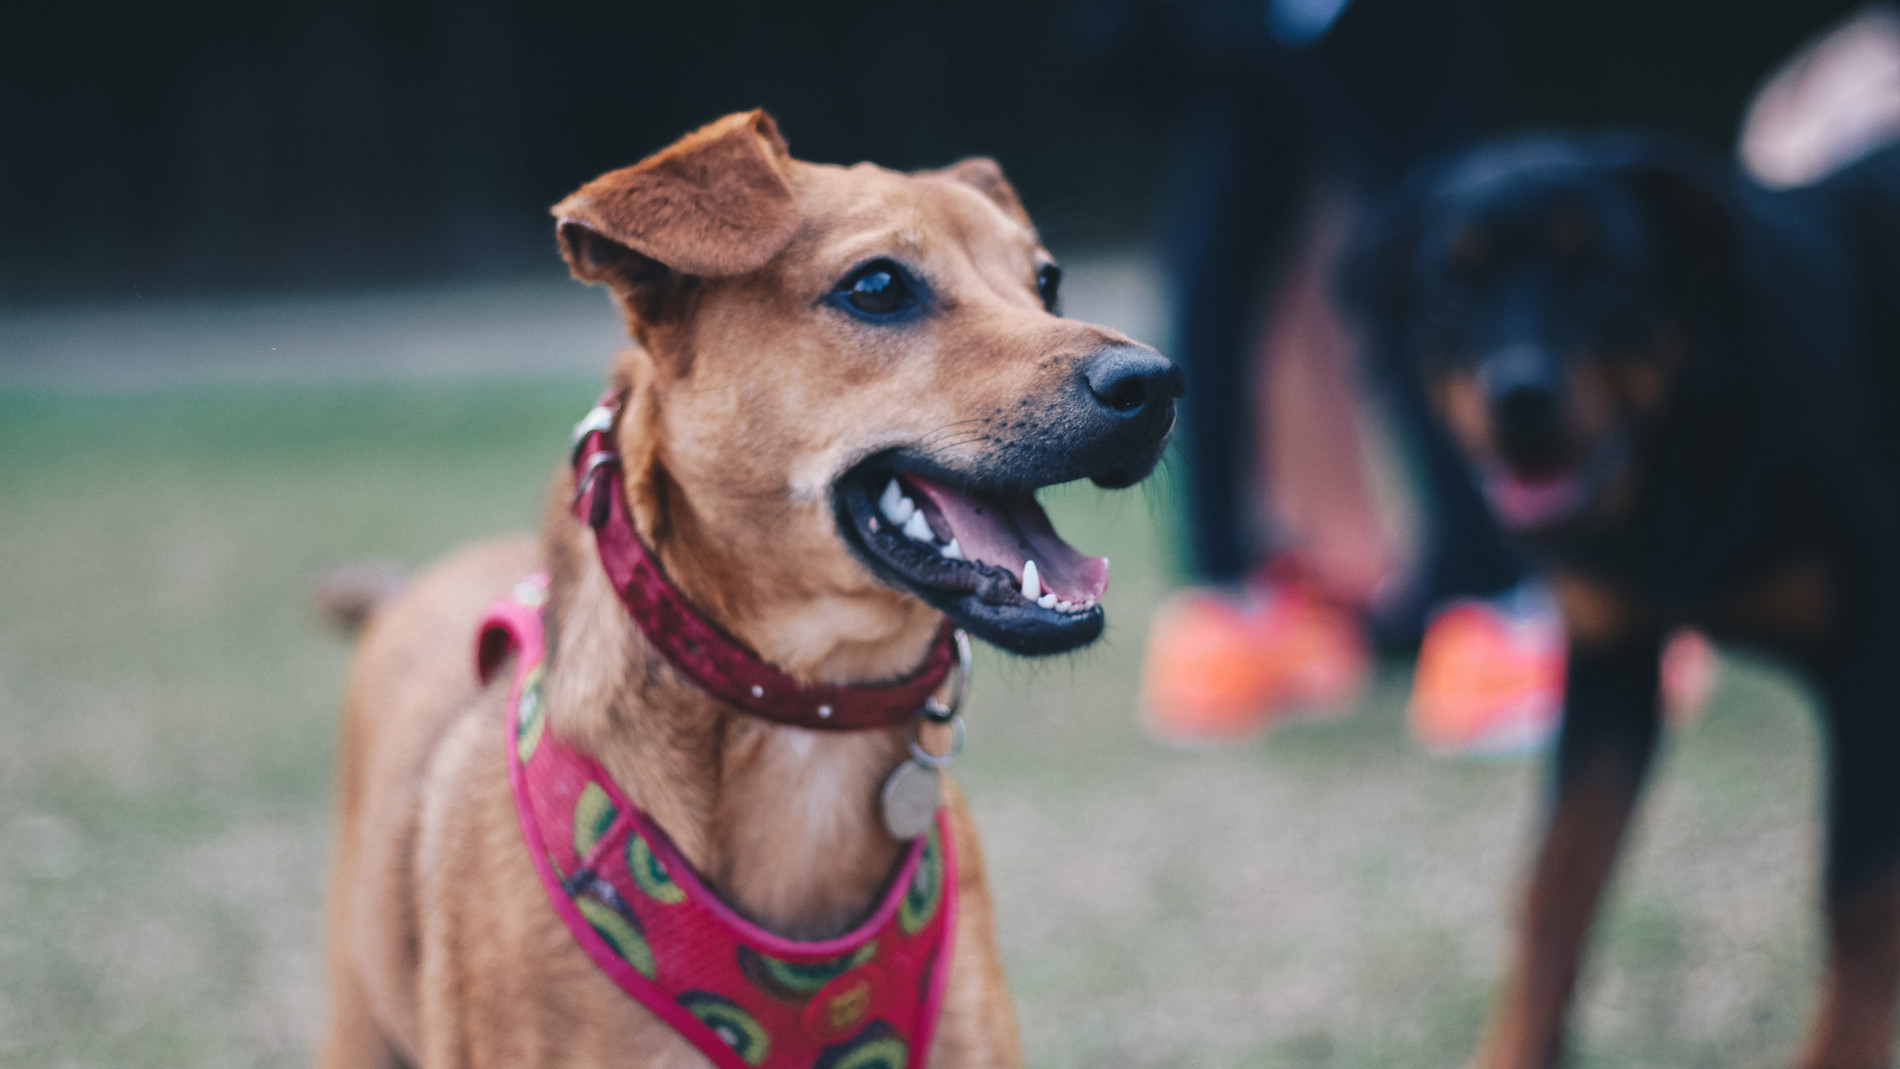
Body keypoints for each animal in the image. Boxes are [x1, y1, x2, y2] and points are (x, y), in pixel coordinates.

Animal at [1360, 130, 1900, 1063]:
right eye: (1453, 283)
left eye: (1603, 270)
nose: (1520, 395)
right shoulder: (1609, 668)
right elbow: (1556, 880)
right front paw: (1515, 1047)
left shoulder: (1875, 672)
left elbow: (1860, 908)